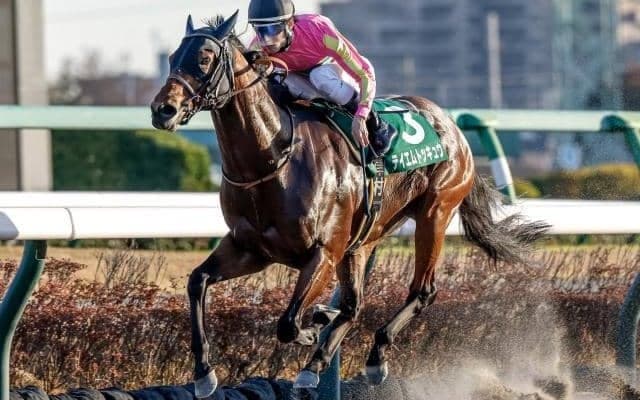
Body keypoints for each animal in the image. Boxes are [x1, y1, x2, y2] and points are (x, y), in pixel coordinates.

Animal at [150, 11, 549, 397]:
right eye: (172, 57)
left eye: (205, 57)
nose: (162, 109)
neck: (273, 157)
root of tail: (451, 126)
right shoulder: (251, 249)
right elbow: (198, 281)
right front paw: (204, 373)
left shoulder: (324, 252)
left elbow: (288, 322)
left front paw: (311, 329)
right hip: (364, 239)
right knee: (354, 304)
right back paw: (316, 362)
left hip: (434, 212)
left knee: (422, 291)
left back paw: (372, 357)